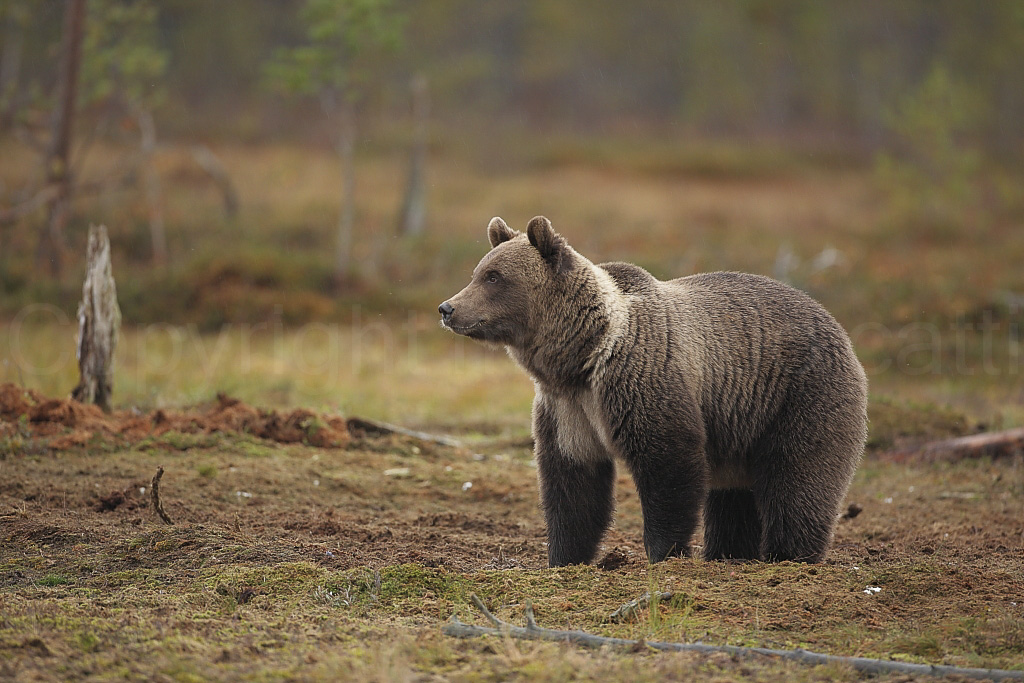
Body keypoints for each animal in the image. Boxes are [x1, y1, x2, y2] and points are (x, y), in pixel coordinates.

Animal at [439, 216, 868, 567]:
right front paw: (564, 557)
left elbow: (668, 464)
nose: (448, 308)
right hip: (740, 425)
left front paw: (663, 551)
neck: (583, 355)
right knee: (733, 499)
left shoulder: (642, 380)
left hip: (799, 393)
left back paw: (790, 555)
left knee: (799, 479)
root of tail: (836, 324)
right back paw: (730, 554)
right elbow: (572, 483)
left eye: (494, 277)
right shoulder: (568, 408)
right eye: (479, 272)